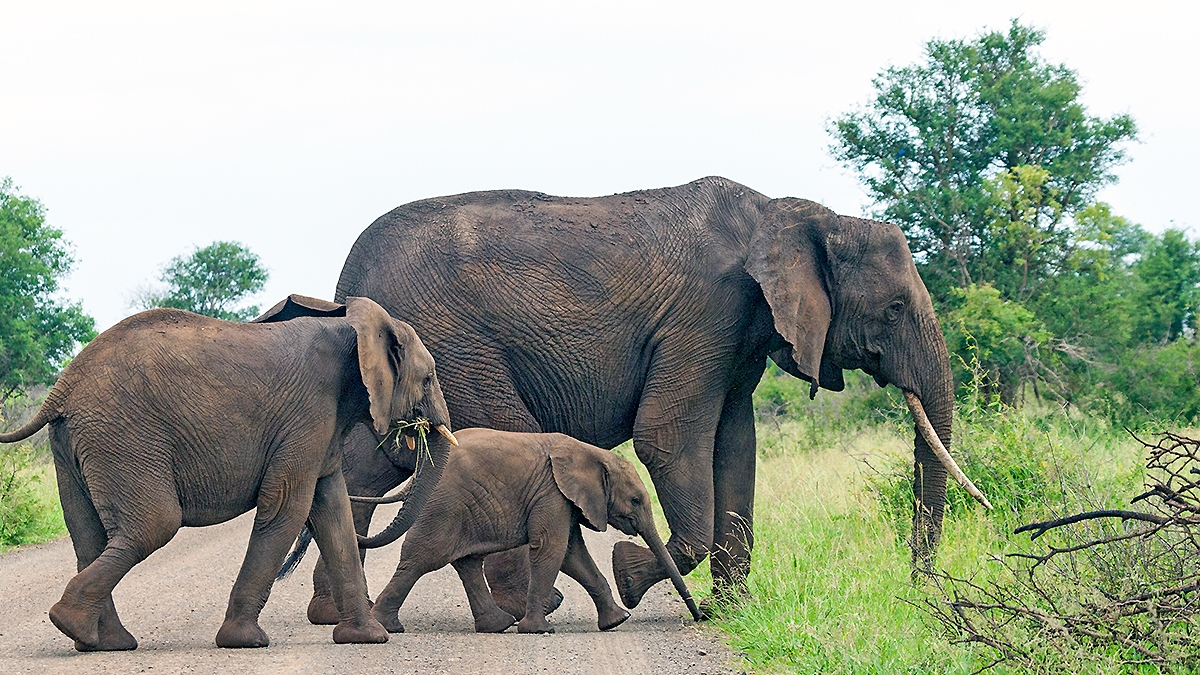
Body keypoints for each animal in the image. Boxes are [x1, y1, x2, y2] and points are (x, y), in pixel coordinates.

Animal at [0, 294, 458, 651]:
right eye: (429, 378)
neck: (355, 328)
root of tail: (62, 389)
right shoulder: (306, 416)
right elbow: (288, 507)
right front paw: (245, 641)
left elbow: (333, 513)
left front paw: (368, 639)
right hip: (123, 437)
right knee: (153, 526)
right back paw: (71, 623)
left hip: (74, 443)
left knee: (88, 536)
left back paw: (101, 642)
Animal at [353, 428, 703, 634]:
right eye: (635, 500)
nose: (700, 616)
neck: (591, 453)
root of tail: (420, 472)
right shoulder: (551, 492)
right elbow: (551, 549)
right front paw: (539, 630)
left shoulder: (564, 498)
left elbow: (573, 555)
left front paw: (617, 621)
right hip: (444, 504)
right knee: (421, 558)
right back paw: (386, 626)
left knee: (466, 562)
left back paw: (498, 626)